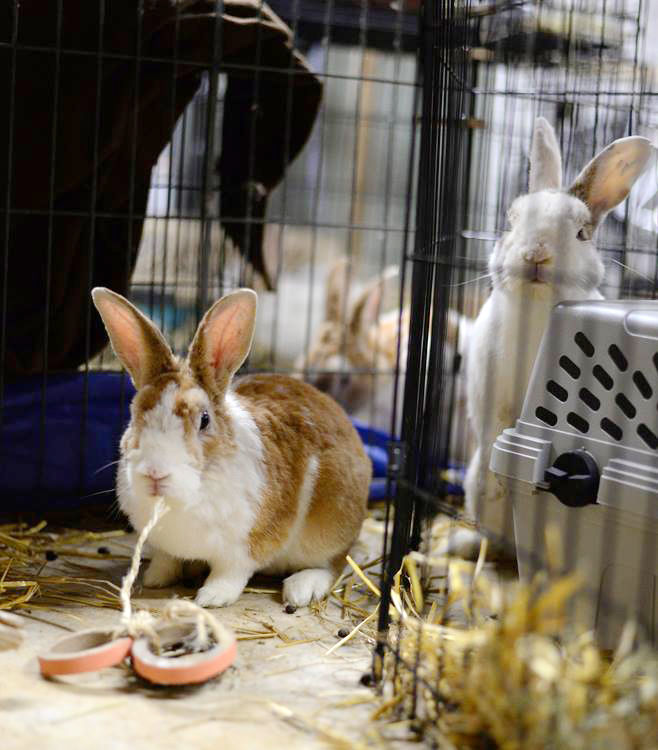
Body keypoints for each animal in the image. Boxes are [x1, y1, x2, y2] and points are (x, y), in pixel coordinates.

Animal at [91, 286, 371, 608]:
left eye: (204, 420)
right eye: (135, 414)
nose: (154, 473)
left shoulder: (245, 546)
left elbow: (231, 573)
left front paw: (211, 598)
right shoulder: (164, 545)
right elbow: (166, 559)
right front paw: (155, 578)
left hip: (329, 527)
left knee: (335, 564)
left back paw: (301, 589)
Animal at [456, 117, 653, 557]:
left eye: (581, 233)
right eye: (511, 220)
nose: (536, 254)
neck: (533, 309)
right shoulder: (490, 396)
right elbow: (495, 431)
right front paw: (498, 481)